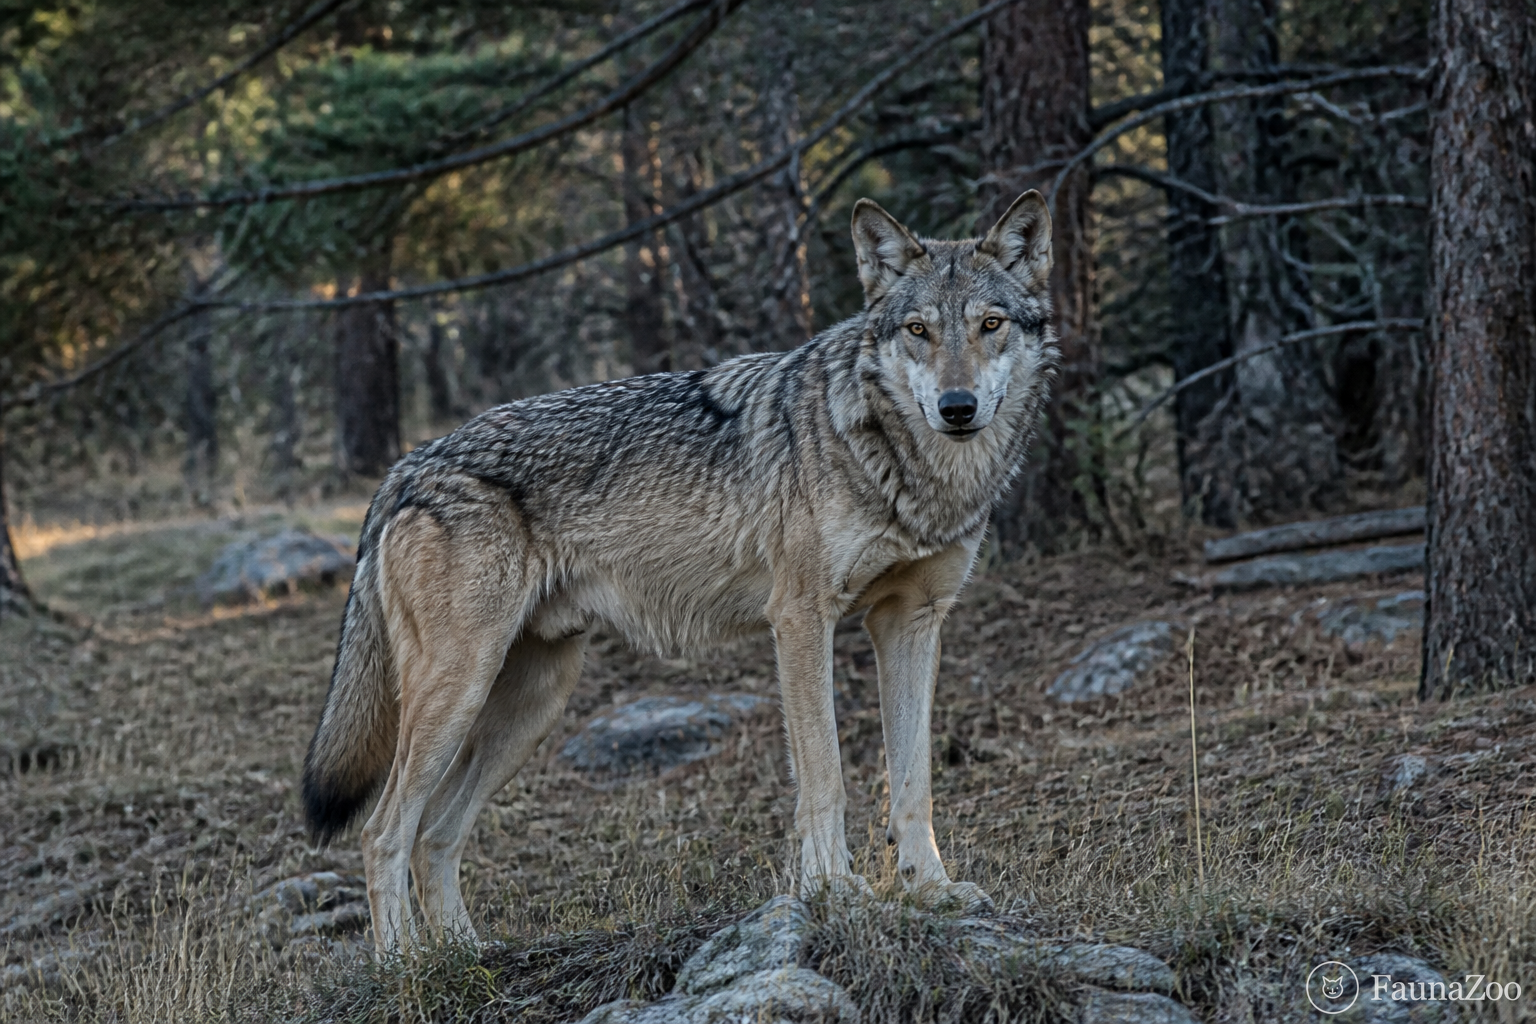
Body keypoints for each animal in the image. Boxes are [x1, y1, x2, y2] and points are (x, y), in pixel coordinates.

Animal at [301, 190, 1058, 952]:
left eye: (989, 325)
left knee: (435, 832)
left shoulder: (911, 622)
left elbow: (913, 784)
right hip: (461, 690)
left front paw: (932, 891)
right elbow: (826, 777)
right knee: (382, 831)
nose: (957, 408)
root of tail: (407, 467)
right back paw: (402, 964)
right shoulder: (801, 620)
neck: (907, 470)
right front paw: (834, 891)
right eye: (918, 330)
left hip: (534, 700)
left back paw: (466, 957)